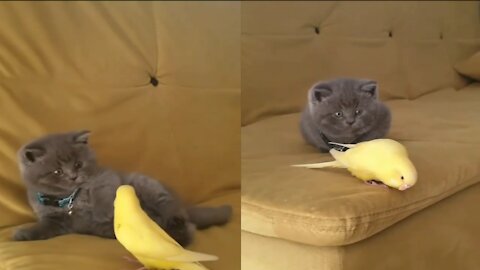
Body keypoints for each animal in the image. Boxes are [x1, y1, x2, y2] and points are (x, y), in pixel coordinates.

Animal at [14, 131, 232, 247]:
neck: (70, 199)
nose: (73, 177)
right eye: (57, 171)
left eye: (78, 164)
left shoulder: (107, 177)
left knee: (178, 216)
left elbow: (103, 192)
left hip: (147, 185)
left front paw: (103, 212)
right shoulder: (56, 221)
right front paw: (23, 234)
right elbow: (43, 228)